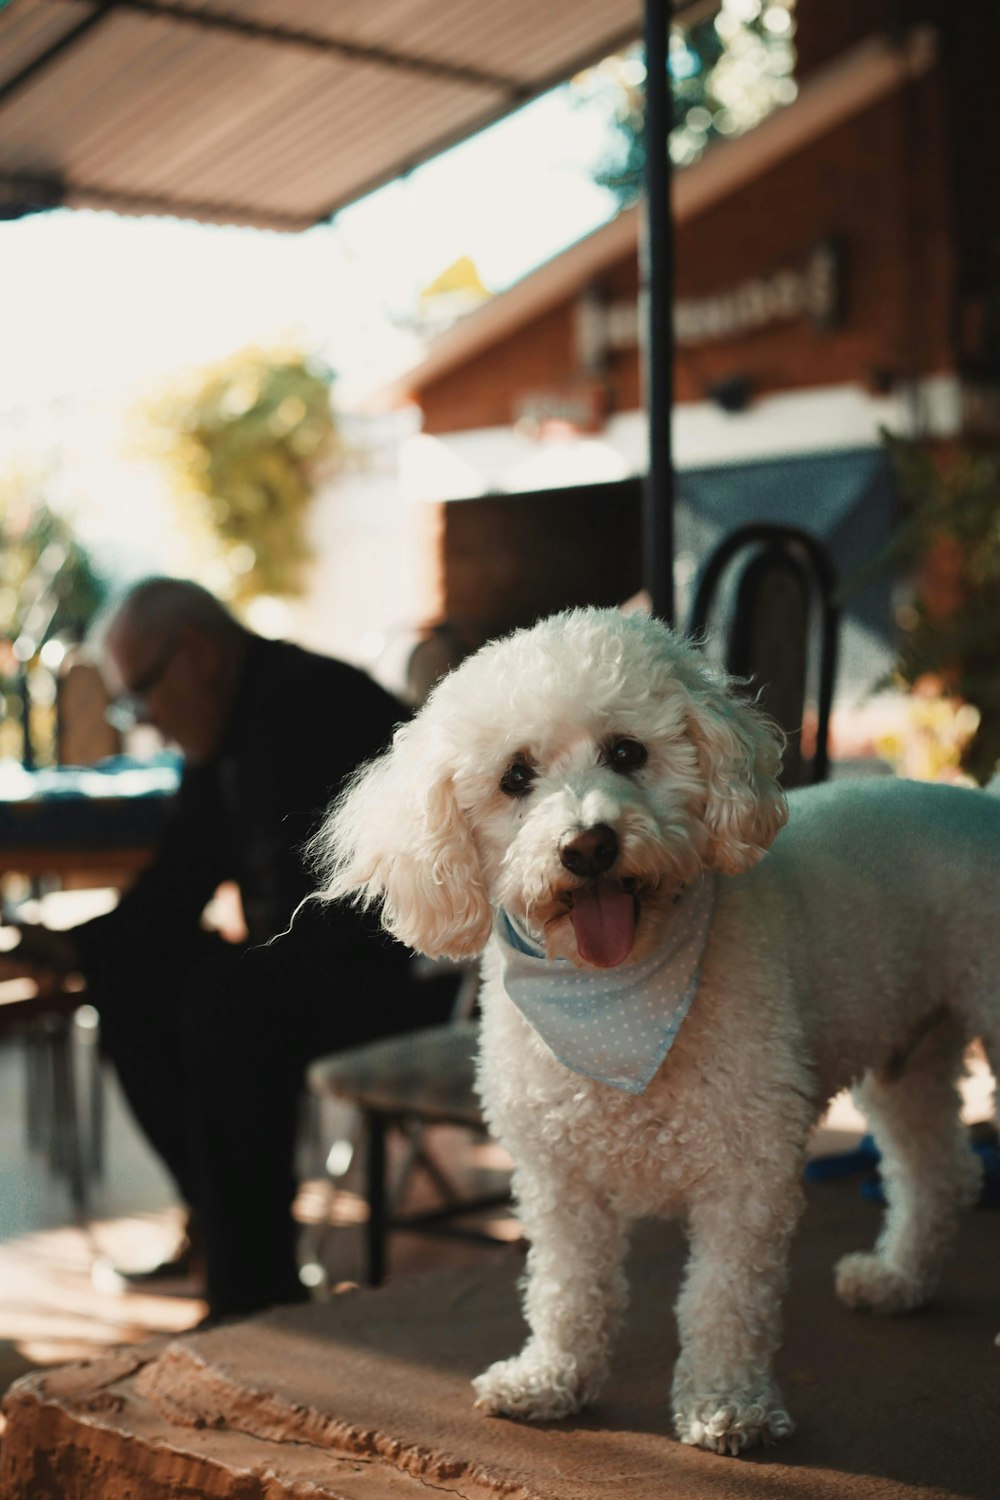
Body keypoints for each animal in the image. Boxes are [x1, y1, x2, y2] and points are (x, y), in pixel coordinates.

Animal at [313, 606, 1000, 1452]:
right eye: (516, 777)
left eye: (627, 752)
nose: (588, 846)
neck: (616, 1004)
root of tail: (986, 805)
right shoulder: (558, 1179)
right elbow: (566, 1288)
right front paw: (553, 1378)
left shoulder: (749, 1169)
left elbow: (723, 1299)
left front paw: (726, 1405)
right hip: (910, 1057)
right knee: (939, 1172)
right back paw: (898, 1278)